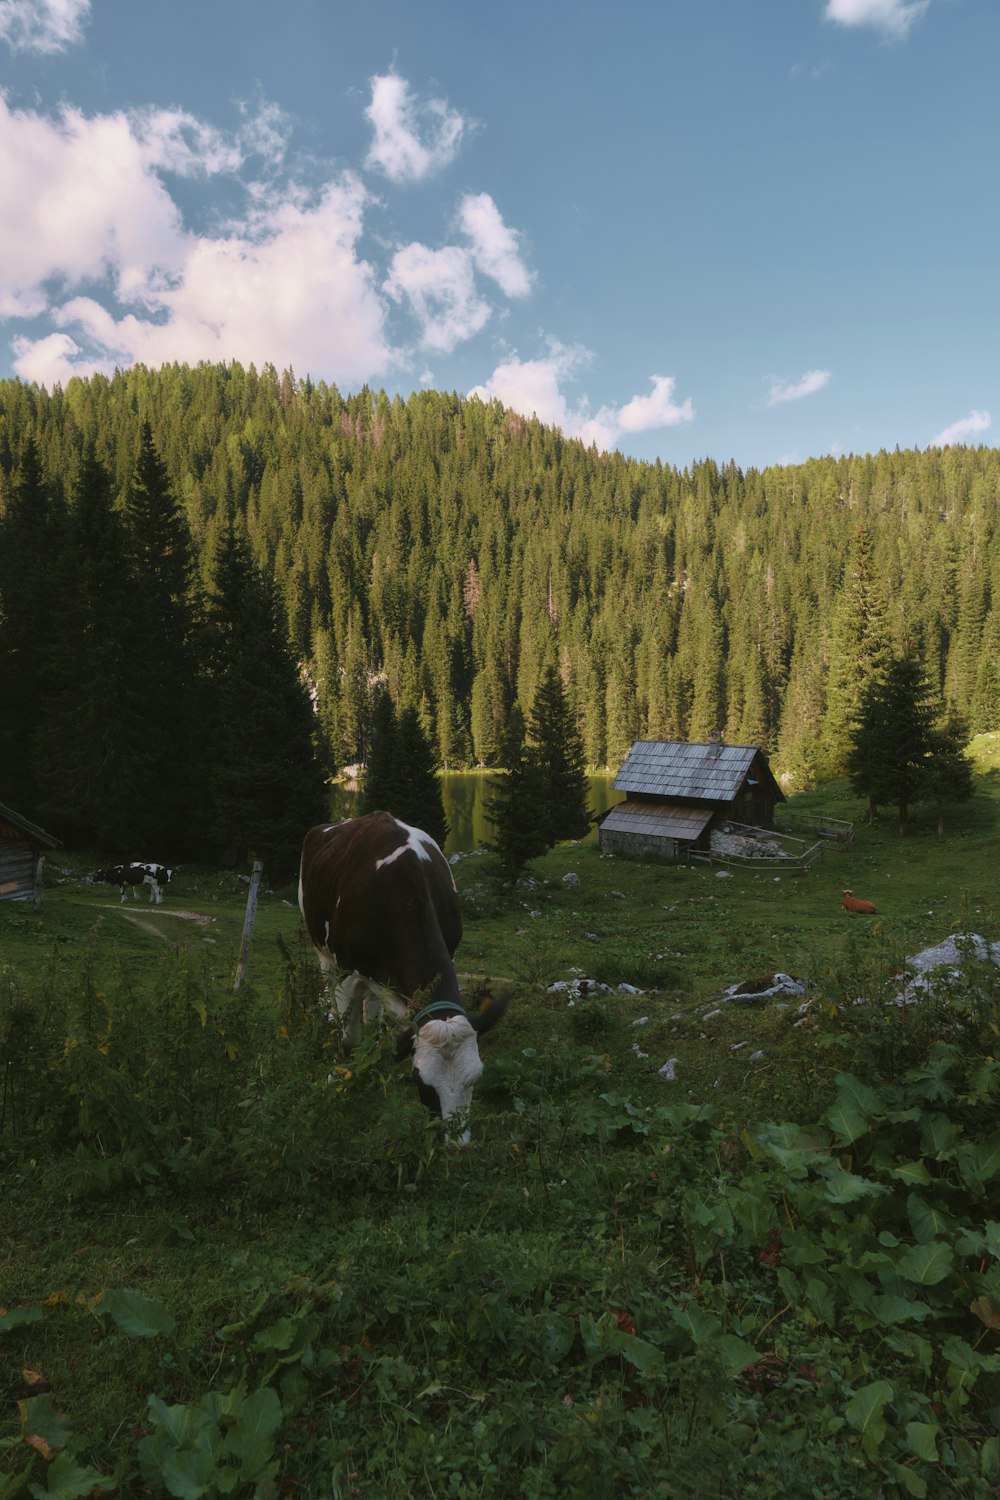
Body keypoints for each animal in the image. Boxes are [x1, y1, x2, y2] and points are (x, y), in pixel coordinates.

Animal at [296, 816, 509, 1140]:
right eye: (422, 1083)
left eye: (475, 1078)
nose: (458, 1144)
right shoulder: (347, 971)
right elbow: (348, 1039)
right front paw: (337, 1078)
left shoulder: (448, 953)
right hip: (324, 955)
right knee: (333, 997)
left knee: (371, 1005)